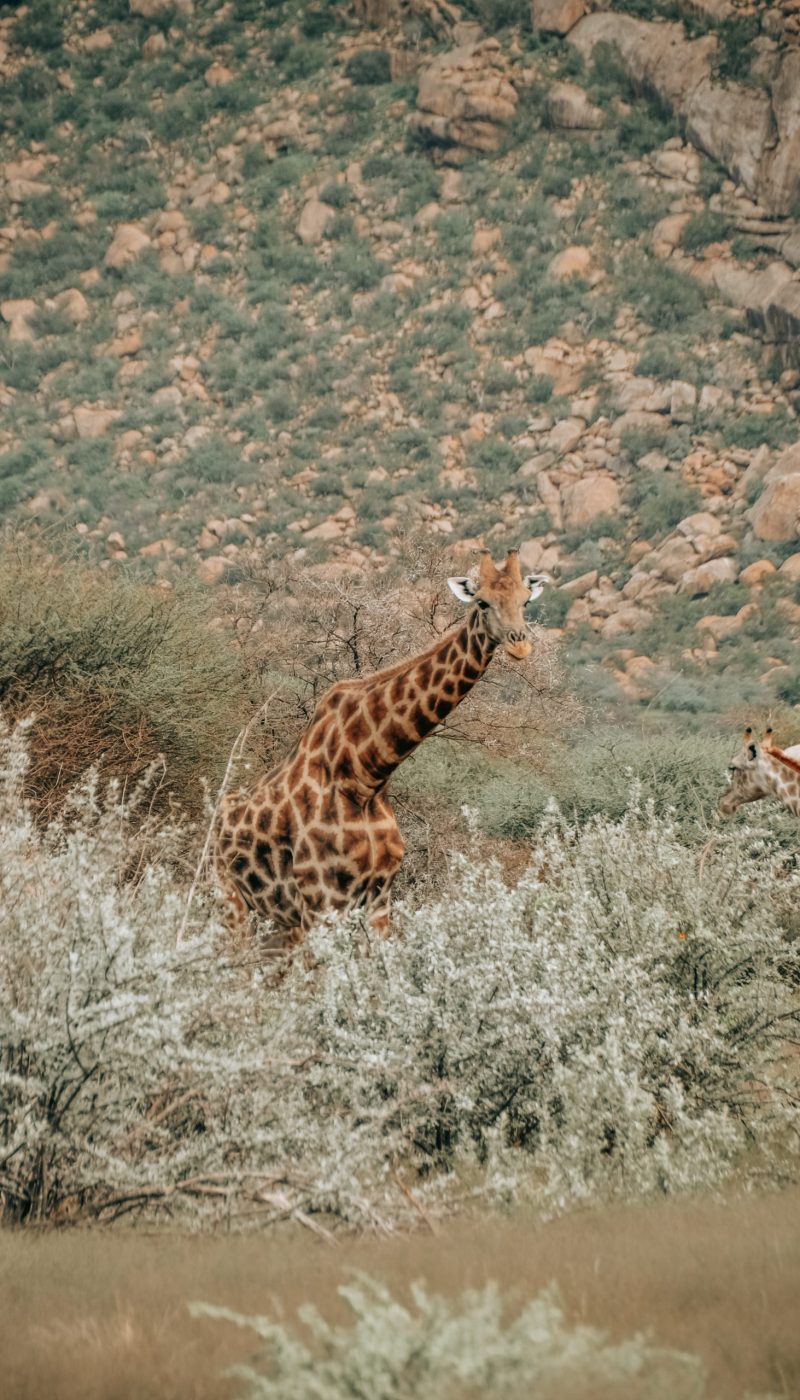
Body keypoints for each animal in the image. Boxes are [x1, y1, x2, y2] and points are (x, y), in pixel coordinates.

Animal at [215, 549, 550, 944]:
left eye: (525, 601)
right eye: (482, 602)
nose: (520, 644)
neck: (367, 773)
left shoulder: (378, 898)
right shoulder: (320, 900)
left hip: (277, 924)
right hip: (231, 902)